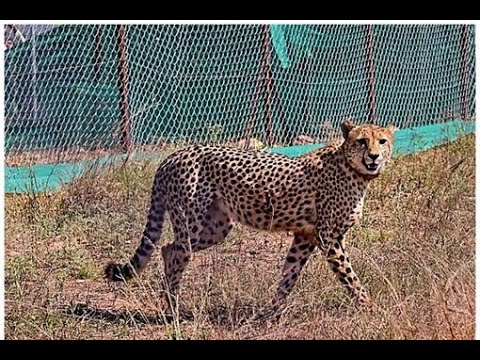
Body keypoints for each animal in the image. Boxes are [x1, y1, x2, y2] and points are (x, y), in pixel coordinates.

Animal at [106, 119, 398, 316]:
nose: (374, 156)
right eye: (362, 141)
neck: (354, 169)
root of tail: (173, 155)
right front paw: (370, 306)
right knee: (177, 253)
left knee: (168, 248)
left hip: (216, 228)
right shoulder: (328, 238)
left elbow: (289, 275)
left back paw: (172, 304)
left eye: (382, 141)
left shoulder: (305, 236)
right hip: (192, 222)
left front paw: (273, 311)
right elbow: (350, 276)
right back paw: (174, 309)